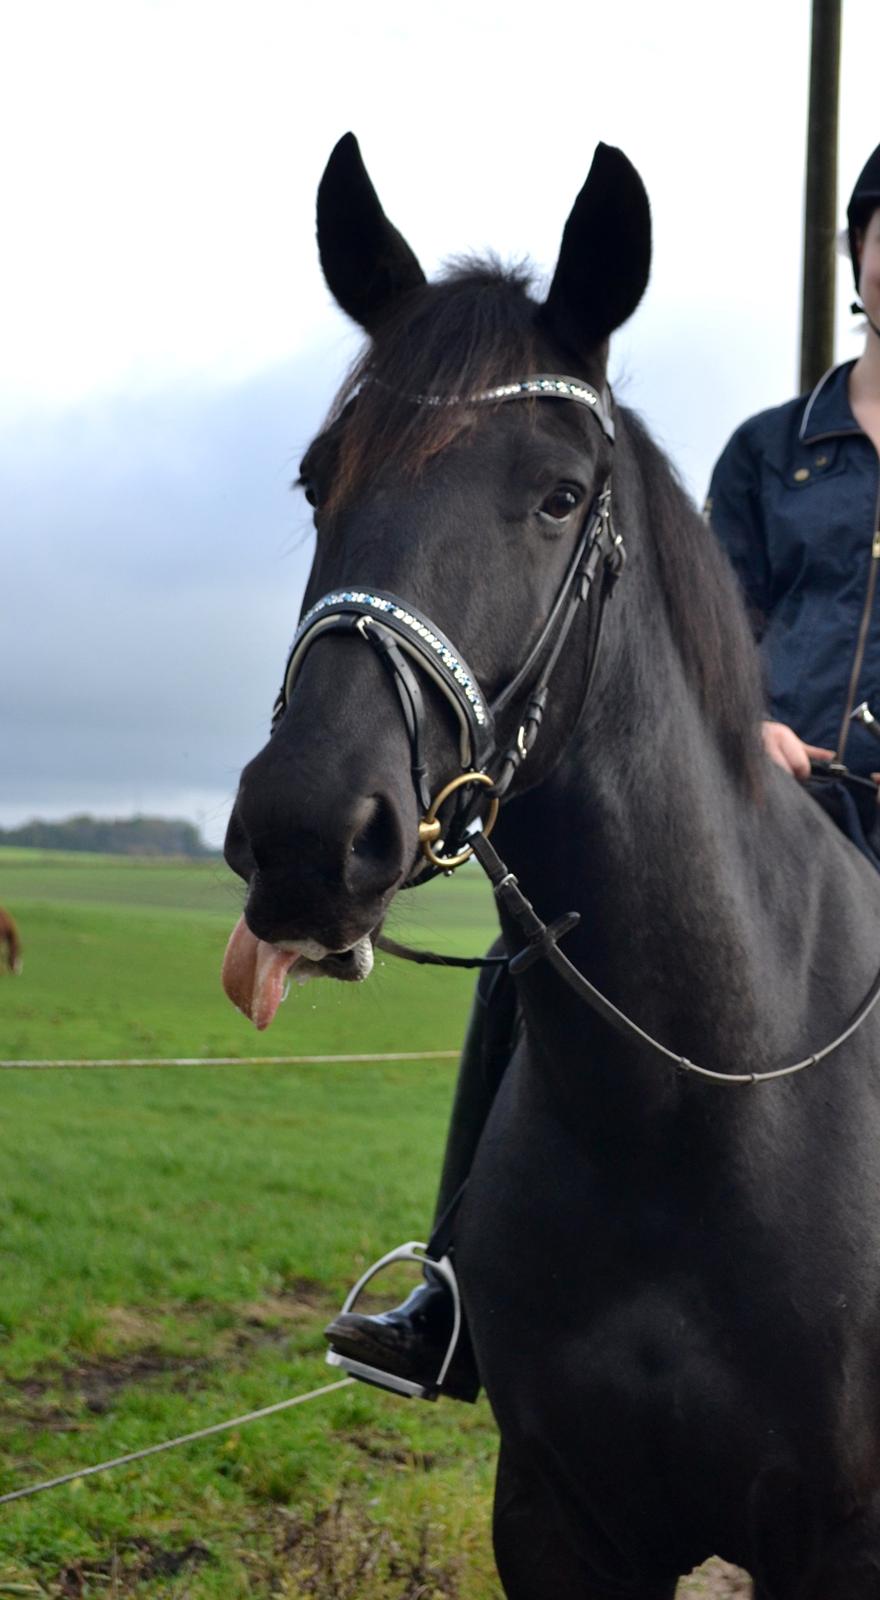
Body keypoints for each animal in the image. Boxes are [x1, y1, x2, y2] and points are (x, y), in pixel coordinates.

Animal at [222, 137, 880, 1600]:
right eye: (316, 480)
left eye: (560, 495)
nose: (303, 835)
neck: (695, 1101)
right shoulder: (557, 1520)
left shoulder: (841, 1544)